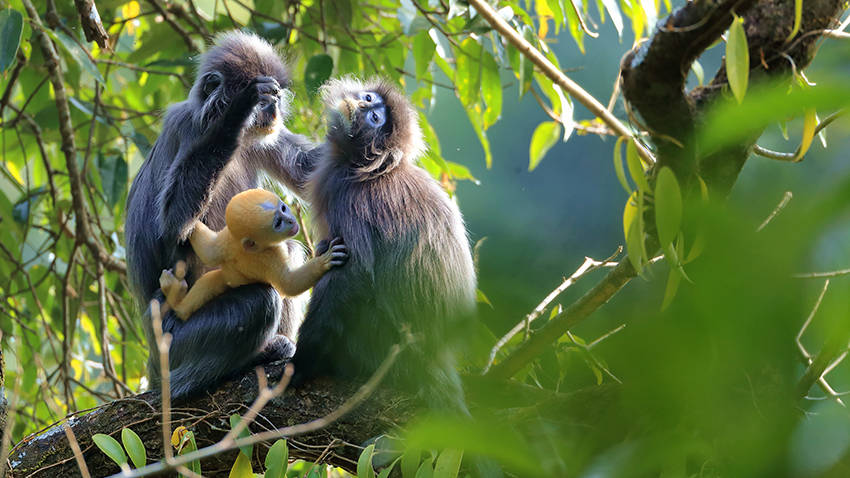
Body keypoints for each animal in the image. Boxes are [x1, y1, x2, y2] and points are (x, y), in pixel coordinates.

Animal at [125, 31, 322, 400]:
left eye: (277, 97)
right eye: (266, 98)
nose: (274, 104)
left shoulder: (262, 139)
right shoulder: (186, 128)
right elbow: (174, 225)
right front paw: (238, 111)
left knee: (286, 251)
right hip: (174, 340)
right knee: (261, 300)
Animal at [157, 188, 346, 322]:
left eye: (283, 208)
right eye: (278, 223)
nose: (291, 221)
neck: (250, 247)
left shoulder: (229, 239)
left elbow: (210, 251)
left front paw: (189, 223)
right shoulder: (271, 254)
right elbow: (289, 284)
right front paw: (324, 261)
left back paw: (178, 302)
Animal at [292, 76, 476, 412]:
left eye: (375, 118)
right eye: (368, 99)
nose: (363, 105)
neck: (365, 169)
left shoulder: (350, 200)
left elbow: (354, 273)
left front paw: (301, 363)